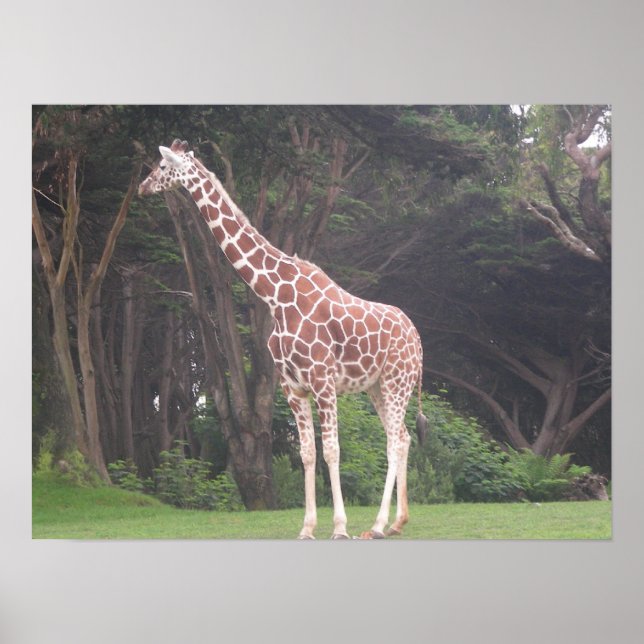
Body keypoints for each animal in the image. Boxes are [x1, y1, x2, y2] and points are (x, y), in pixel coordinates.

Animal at [139, 139, 428, 539]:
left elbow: (332, 450)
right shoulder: (292, 386)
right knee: (402, 437)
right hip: (377, 386)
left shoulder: (322, 380)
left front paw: (339, 528)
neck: (274, 295)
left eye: (163, 167)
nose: (142, 186)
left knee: (392, 441)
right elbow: (306, 453)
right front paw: (307, 528)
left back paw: (378, 525)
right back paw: (398, 521)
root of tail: (418, 339)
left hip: (398, 381)